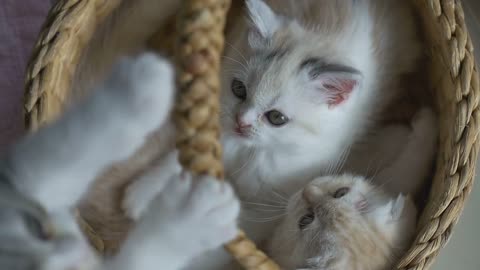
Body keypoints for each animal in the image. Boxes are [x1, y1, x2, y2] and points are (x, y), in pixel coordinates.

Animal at [0, 53, 240, 270]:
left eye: (38, 228)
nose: (79, 250)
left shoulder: (16, 174)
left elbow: (57, 153)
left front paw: (131, 97)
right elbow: (142, 257)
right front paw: (186, 219)